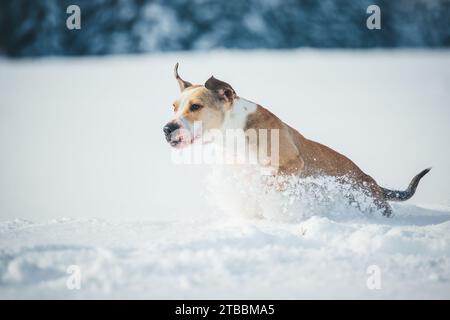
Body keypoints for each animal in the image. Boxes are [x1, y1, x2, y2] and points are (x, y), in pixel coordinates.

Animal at [163, 63, 430, 216]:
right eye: (174, 106)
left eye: (196, 106)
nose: (167, 128)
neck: (233, 131)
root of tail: (374, 183)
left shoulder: (291, 165)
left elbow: (273, 183)